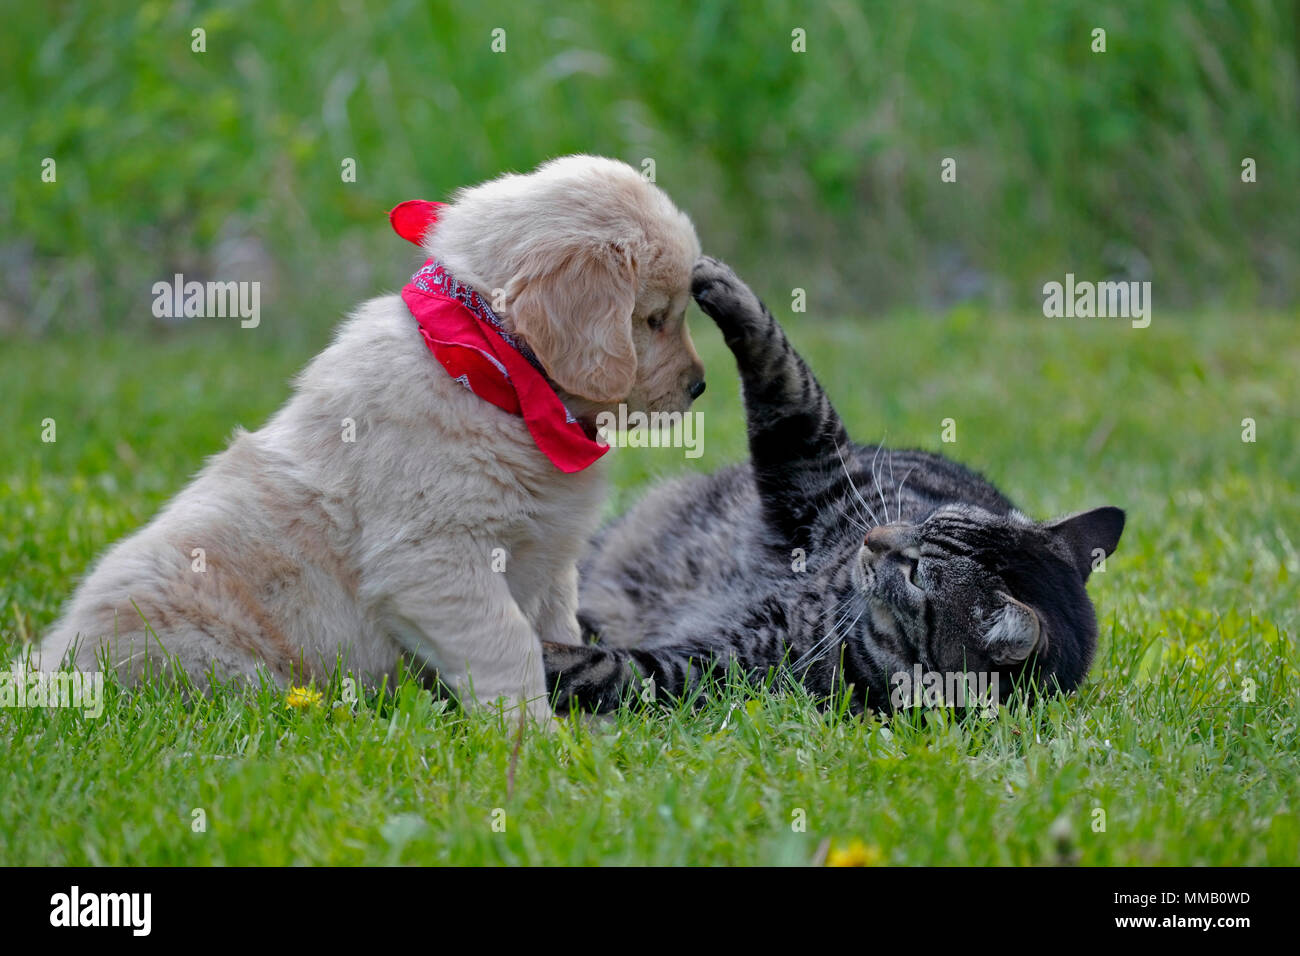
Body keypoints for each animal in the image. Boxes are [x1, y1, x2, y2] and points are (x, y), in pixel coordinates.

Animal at [25, 155, 707, 717]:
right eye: (654, 319)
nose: (700, 386)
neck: (492, 369)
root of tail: (47, 668)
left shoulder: (550, 563)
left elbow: (560, 634)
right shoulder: (434, 559)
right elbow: (508, 644)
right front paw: (532, 742)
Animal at [543, 257, 1123, 712]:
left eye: (917, 574)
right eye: (929, 519)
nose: (876, 538)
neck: (831, 590)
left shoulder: (710, 667)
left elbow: (603, 669)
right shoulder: (821, 470)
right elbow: (783, 365)